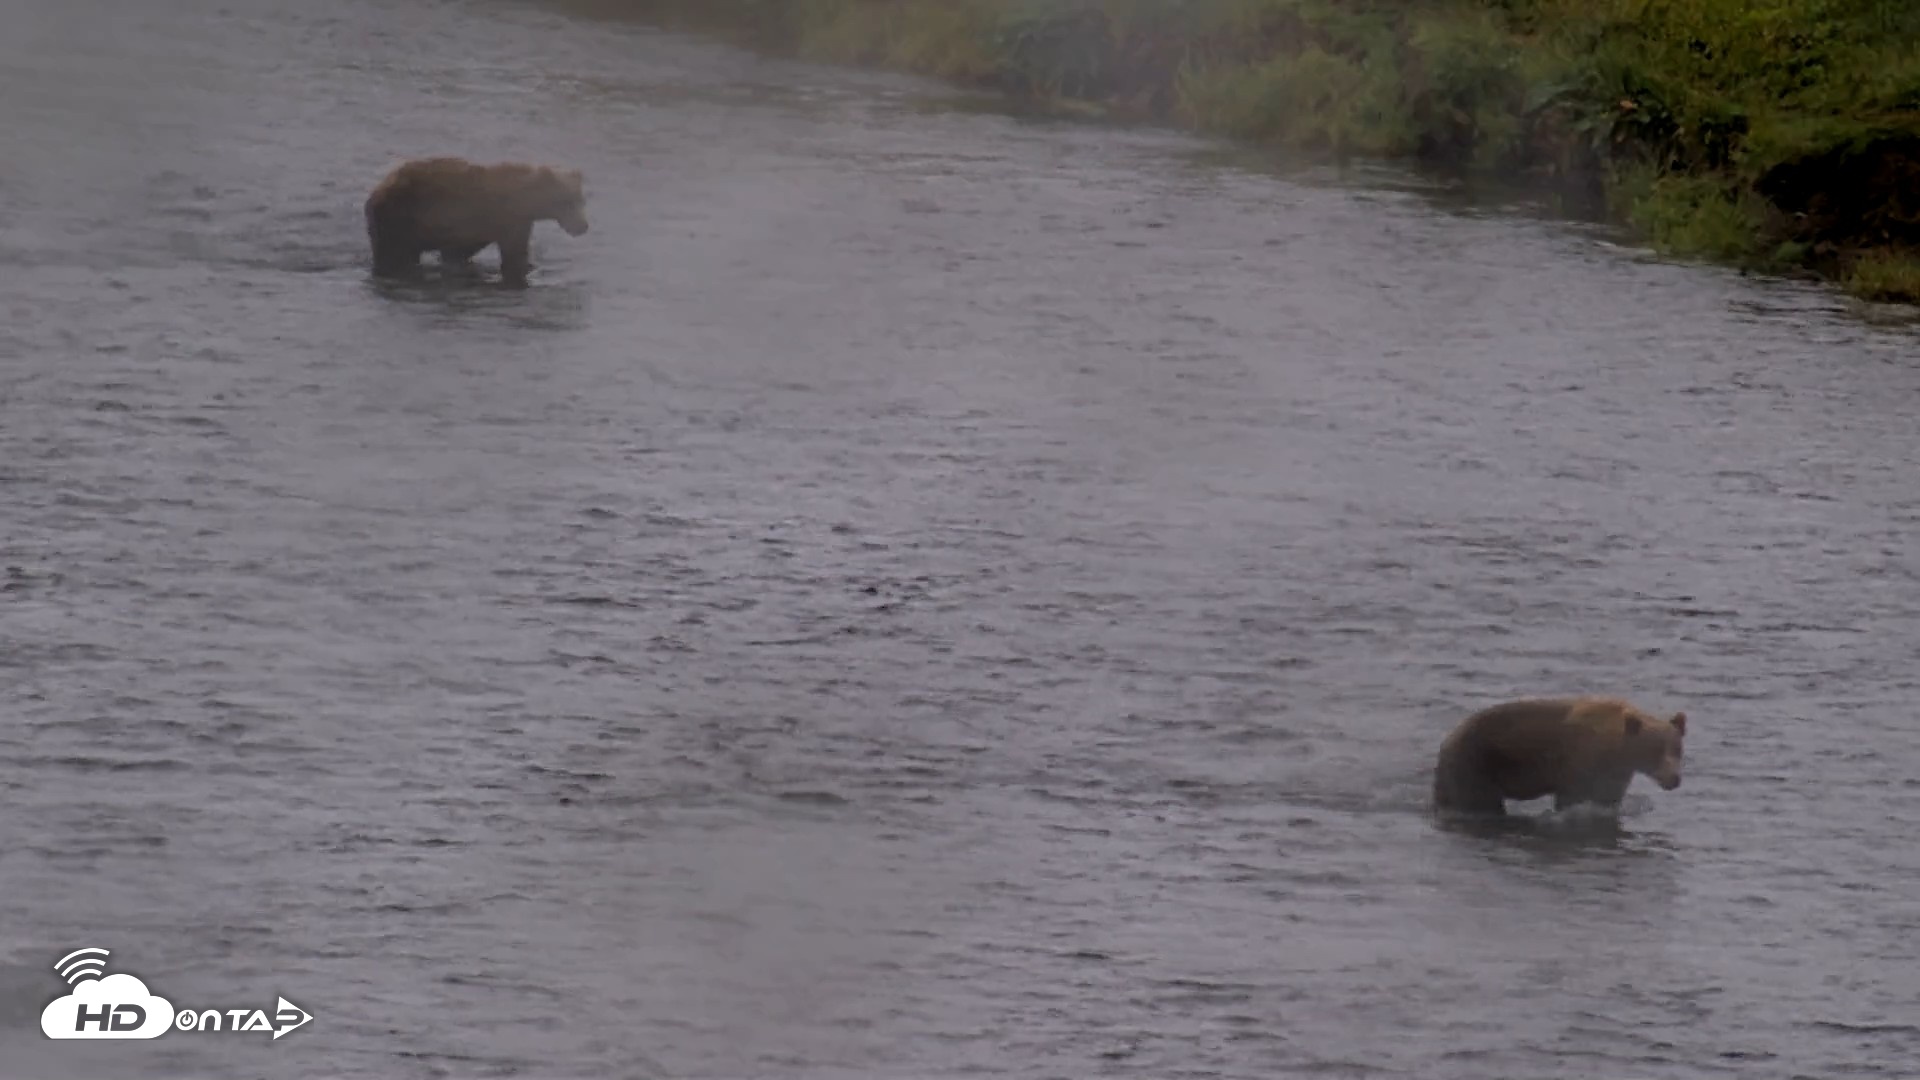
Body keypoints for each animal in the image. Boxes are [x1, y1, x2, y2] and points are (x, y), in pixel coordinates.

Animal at [363, 156, 588, 286]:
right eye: (567, 201)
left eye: (581, 199)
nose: (583, 226)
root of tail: (375, 192)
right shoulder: (506, 220)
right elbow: (514, 255)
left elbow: (461, 252)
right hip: (399, 218)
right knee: (393, 253)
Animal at [1431, 695, 1687, 817]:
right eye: (1655, 749)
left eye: (1677, 749)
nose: (1673, 779)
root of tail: (1447, 739)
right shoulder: (1580, 764)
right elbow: (1572, 798)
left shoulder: (1614, 775)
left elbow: (1608, 799)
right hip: (1474, 764)